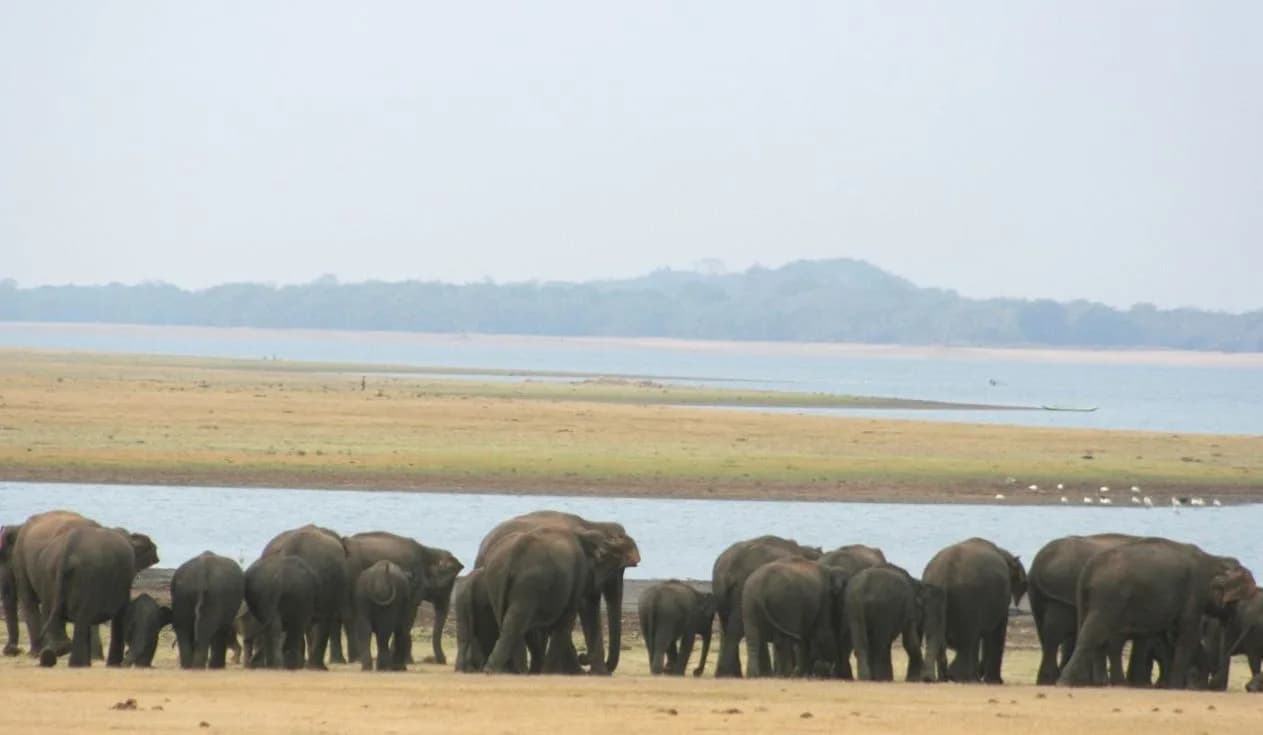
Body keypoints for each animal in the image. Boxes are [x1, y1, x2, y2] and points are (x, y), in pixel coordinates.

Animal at [340, 531, 463, 666]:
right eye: (447, 586)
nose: (443, 661)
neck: (429, 550)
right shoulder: (414, 584)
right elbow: (410, 614)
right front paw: (405, 660)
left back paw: (355, 659)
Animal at [475, 511, 640, 675]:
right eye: (616, 570)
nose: (583, 656)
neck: (592, 525)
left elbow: (590, 609)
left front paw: (597, 674)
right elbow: (581, 611)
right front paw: (584, 673)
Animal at [711, 535, 823, 678]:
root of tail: (727, 569)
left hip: (721, 593)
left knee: (728, 626)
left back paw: (729, 673)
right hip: (741, 589)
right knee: (736, 629)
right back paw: (730, 674)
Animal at [921, 537, 1027, 684]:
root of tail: (946, 573)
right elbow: (997, 630)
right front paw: (995, 682)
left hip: (933, 593)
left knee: (937, 634)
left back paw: (937, 678)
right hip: (968, 596)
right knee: (969, 638)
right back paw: (963, 678)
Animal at [1058, 537, 1256, 688]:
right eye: (1239, 600)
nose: (1211, 683)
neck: (1213, 560)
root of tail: (1090, 566)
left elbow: (1174, 636)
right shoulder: (1194, 592)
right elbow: (1187, 635)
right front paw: (1175, 686)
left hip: (1095, 598)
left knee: (1098, 633)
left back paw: (1101, 683)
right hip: (1109, 595)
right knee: (1095, 632)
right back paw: (1067, 682)